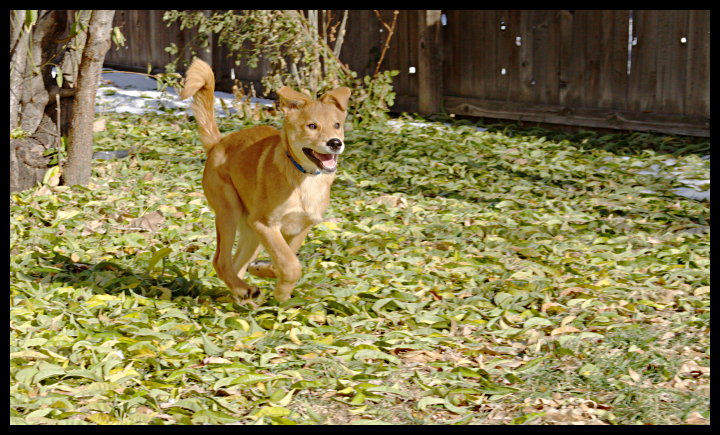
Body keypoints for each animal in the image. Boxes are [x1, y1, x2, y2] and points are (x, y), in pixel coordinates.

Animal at [179, 58, 350, 304]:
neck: (303, 177)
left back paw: (242, 294)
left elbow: (285, 260)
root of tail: (218, 143)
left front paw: (264, 271)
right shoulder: (265, 224)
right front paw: (281, 291)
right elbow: (291, 264)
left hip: (250, 231)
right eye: (312, 126)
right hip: (229, 211)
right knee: (221, 261)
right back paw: (244, 291)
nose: (335, 143)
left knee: (236, 264)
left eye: (337, 125)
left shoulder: (300, 226)